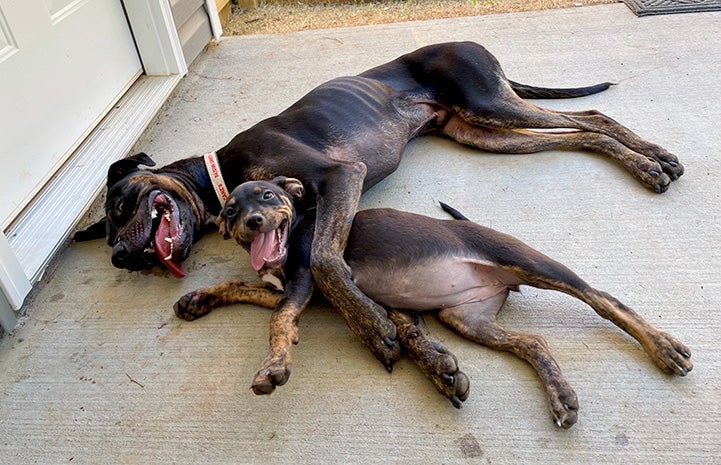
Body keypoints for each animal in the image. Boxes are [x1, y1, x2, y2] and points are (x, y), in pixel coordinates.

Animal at [87, 42, 684, 370]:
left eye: (118, 204)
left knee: (592, 119)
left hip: (489, 103)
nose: (119, 257)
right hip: (482, 132)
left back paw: (652, 162)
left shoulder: (339, 178)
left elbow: (326, 261)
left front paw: (373, 328)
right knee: (579, 134)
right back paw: (647, 160)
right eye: (111, 225)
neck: (222, 170)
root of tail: (470, 42)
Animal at [176, 178, 692, 428]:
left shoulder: (304, 280)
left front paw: (273, 367)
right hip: (467, 319)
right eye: (229, 211)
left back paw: (663, 347)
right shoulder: (283, 286)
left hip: (530, 263)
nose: (251, 223)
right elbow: (237, 284)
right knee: (533, 341)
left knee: (603, 300)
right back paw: (560, 395)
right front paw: (198, 298)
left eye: (267, 196)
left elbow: (280, 321)